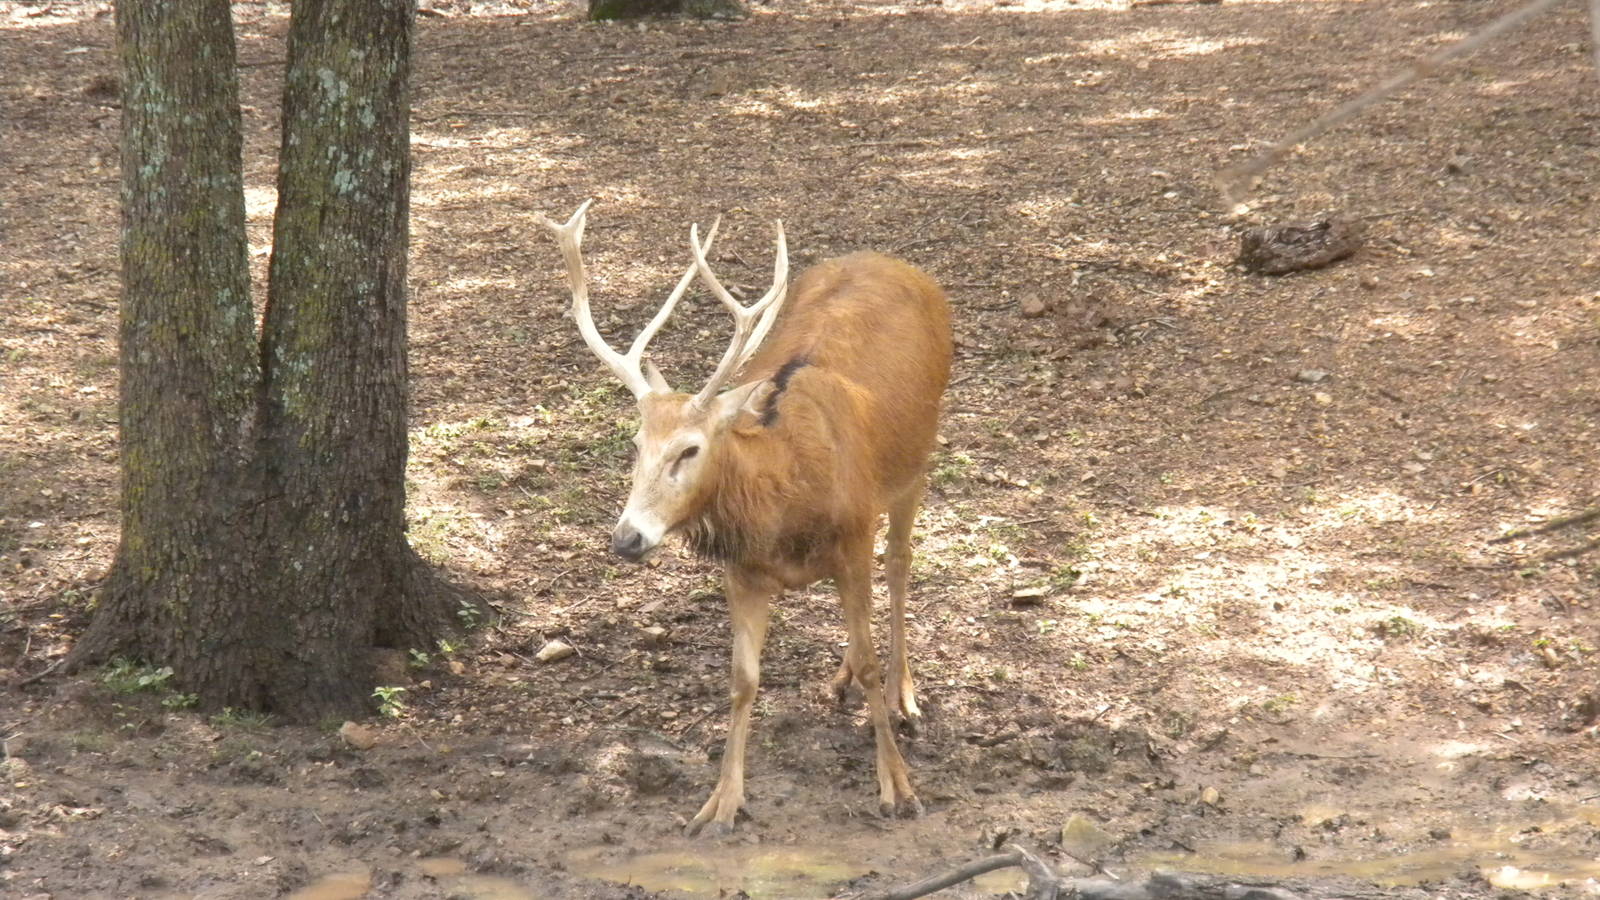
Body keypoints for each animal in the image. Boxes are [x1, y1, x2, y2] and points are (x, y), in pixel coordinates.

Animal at [536, 200, 952, 836]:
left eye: (689, 449)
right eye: (635, 444)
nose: (627, 538)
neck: (786, 503)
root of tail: (898, 264)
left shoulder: (854, 536)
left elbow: (870, 658)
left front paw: (898, 788)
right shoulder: (742, 571)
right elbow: (743, 680)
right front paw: (720, 803)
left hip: (917, 461)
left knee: (901, 563)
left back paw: (904, 696)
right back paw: (840, 680)